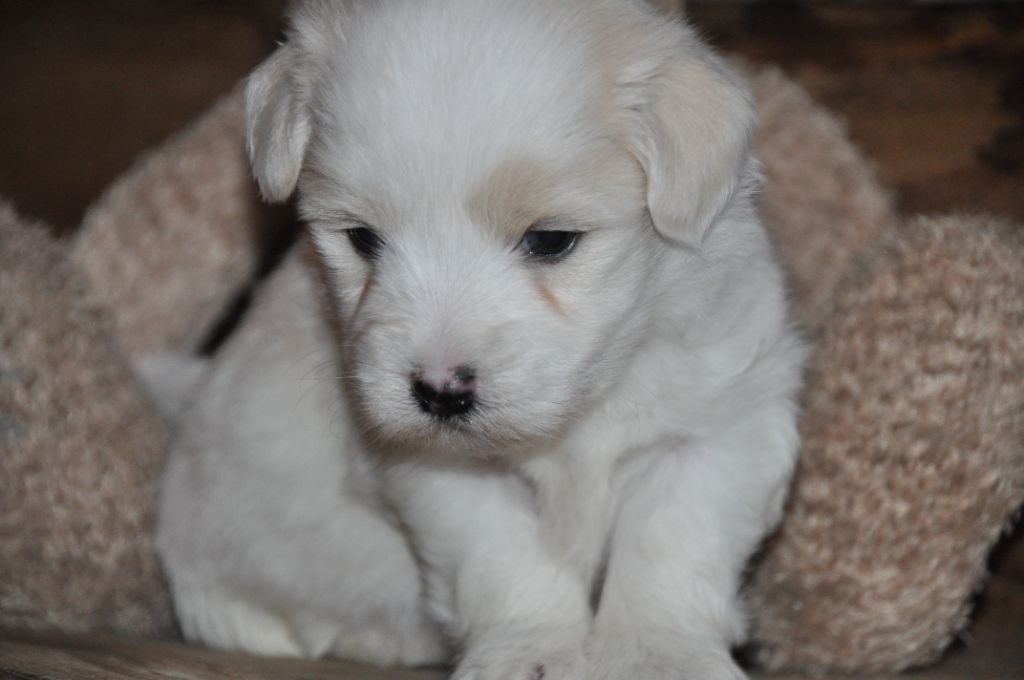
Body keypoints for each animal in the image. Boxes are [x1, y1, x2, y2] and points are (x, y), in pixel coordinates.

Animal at [153, 1, 806, 680]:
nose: (439, 392)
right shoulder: (441, 473)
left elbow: (671, 551)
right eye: (362, 239)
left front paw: (661, 657)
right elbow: (505, 559)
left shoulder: (717, 430)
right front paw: (533, 653)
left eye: (550, 241)